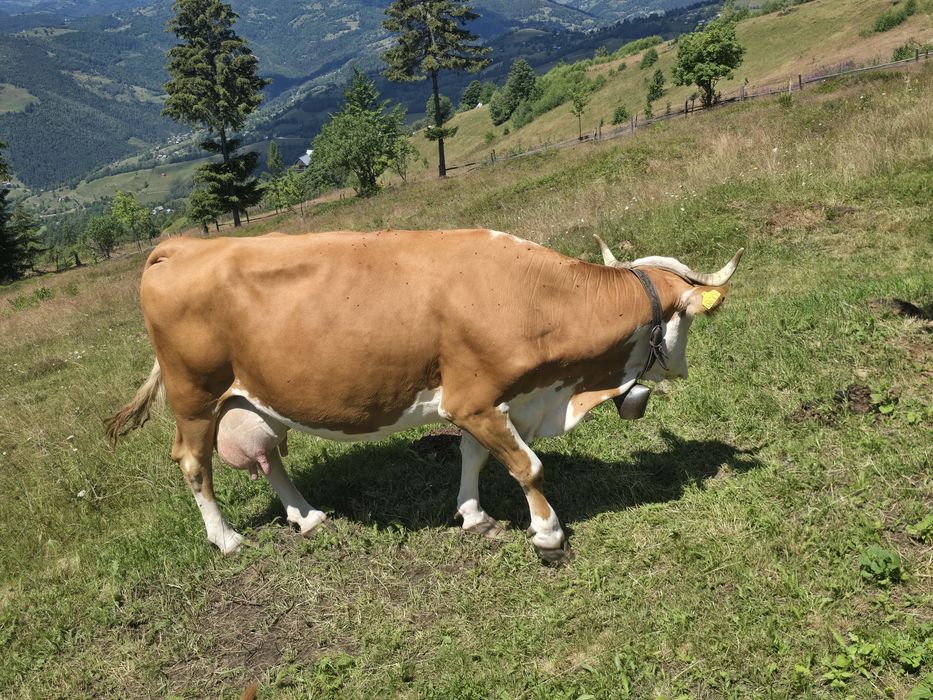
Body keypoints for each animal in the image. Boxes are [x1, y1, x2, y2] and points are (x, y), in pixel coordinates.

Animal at [107, 228, 742, 562]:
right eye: (688, 319)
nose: (682, 368)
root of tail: (183, 245)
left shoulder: (480, 401)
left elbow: (475, 457)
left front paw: (473, 515)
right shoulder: (475, 400)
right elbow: (528, 467)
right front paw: (547, 533)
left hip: (249, 396)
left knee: (269, 457)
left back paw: (308, 517)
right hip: (195, 395)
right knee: (194, 463)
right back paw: (226, 538)